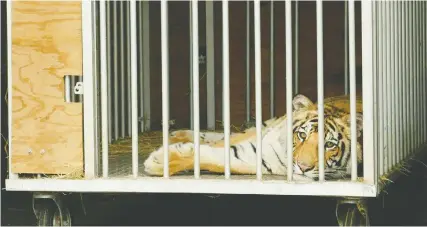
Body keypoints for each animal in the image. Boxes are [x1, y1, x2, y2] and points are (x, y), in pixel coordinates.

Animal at [144, 93, 364, 181]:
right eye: (302, 135)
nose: (302, 167)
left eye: (329, 145)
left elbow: (219, 158)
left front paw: (160, 161)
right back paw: (176, 134)